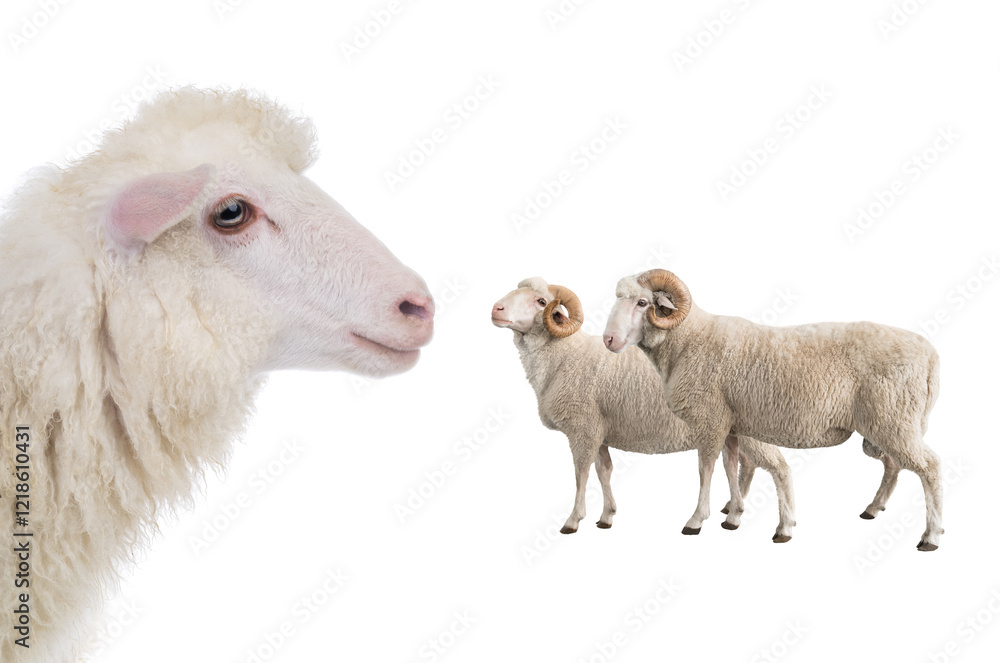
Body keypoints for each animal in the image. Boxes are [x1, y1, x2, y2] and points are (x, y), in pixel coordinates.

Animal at [491, 278, 797, 540]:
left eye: (541, 301)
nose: (496, 309)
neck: (564, 355)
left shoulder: (583, 428)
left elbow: (581, 474)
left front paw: (573, 520)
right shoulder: (599, 430)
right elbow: (604, 470)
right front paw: (607, 516)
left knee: (778, 467)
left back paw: (781, 526)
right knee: (747, 465)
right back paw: (733, 512)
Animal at [603, 268, 942, 551]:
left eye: (643, 302)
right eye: (618, 298)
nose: (608, 339)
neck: (688, 341)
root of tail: (930, 354)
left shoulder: (709, 420)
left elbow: (706, 468)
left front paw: (696, 520)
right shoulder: (730, 424)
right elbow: (731, 466)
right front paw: (734, 515)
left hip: (892, 418)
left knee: (929, 467)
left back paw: (931, 536)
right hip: (888, 424)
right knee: (895, 464)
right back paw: (872, 509)